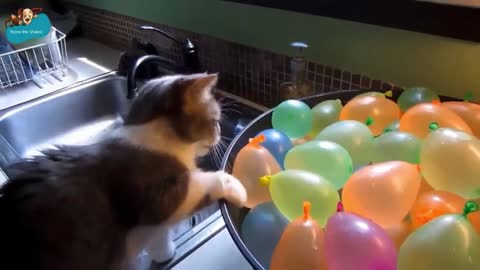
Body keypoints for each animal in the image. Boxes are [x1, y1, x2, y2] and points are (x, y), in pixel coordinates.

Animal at [0, 72, 248, 270]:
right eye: (215, 120)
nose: (220, 134)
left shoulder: (153, 226)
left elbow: (159, 238)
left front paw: (164, 254)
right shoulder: (160, 198)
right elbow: (209, 183)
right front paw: (239, 187)